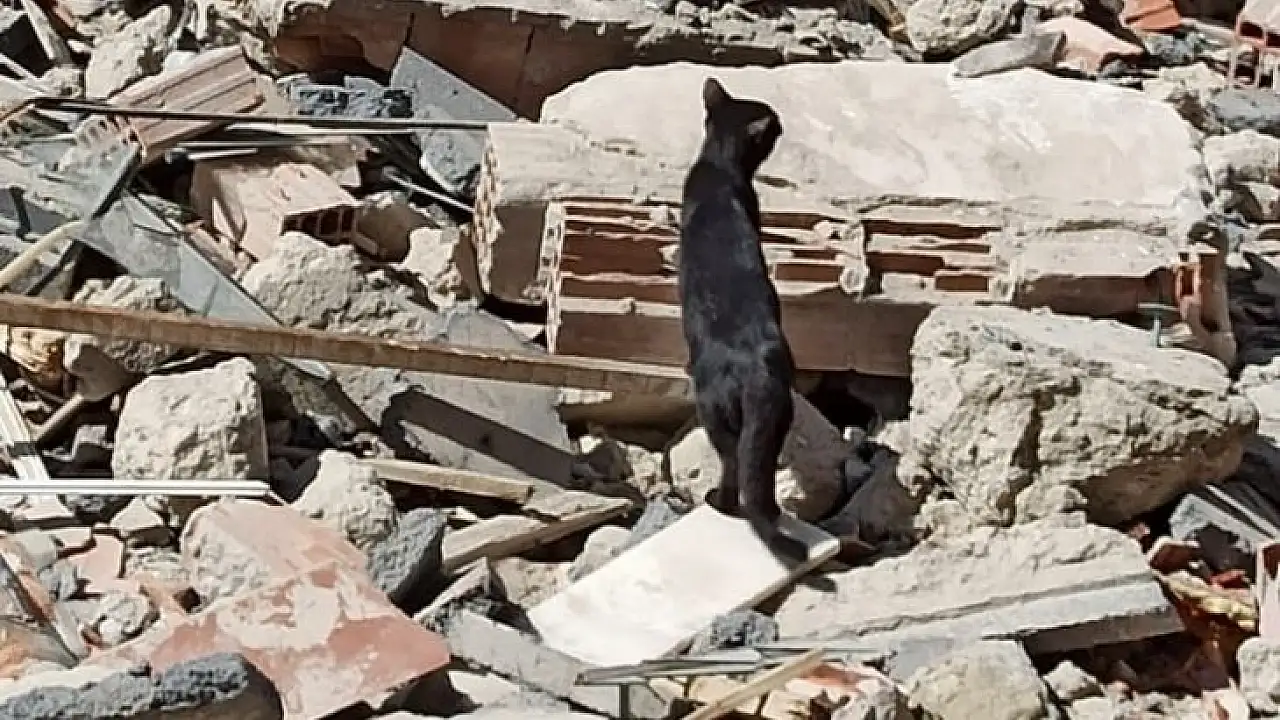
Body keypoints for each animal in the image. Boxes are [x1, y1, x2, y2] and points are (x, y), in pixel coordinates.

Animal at [677, 76, 808, 562]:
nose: (782, 121)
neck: (719, 165)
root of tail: (755, 373)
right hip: (775, 419)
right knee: (759, 477)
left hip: (715, 413)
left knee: (734, 465)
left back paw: (720, 503)